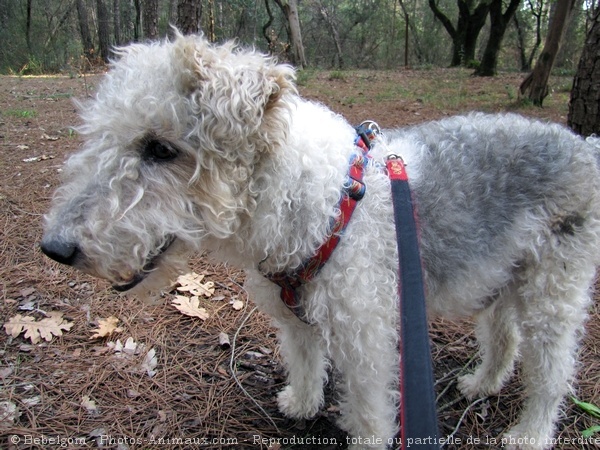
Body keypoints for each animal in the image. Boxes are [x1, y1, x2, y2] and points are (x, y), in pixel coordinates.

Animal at [42, 33, 600, 448]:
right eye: (99, 136)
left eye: (160, 148)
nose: (55, 248)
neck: (312, 202)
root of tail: (585, 146)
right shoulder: (296, 313)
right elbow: (306, 360)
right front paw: (302, 404)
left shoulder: (366, 336)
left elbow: (370, 413)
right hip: (503, 277)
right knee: (504, 340)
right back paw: (480, 383)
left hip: (554, 294)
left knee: (552, 374)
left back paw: (529, 434)